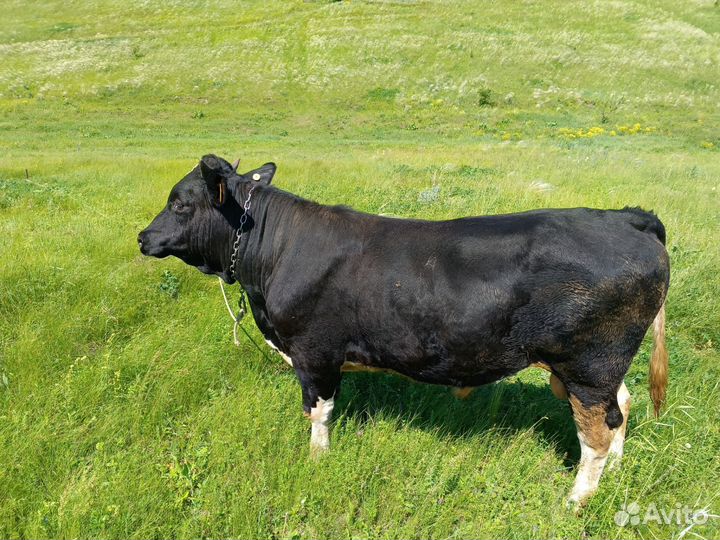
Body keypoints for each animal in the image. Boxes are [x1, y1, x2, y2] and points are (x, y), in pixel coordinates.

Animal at [138, 154, 670, 507]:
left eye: (180, 203)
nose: (143, 237)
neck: (275, 253)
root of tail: (628, 217)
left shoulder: (314, 351)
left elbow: (319, 413)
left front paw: (317, 462)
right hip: (600, 368)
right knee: (621, 408)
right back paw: (616, 470)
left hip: (587, 365)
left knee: (596, 430)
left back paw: (577, 499)